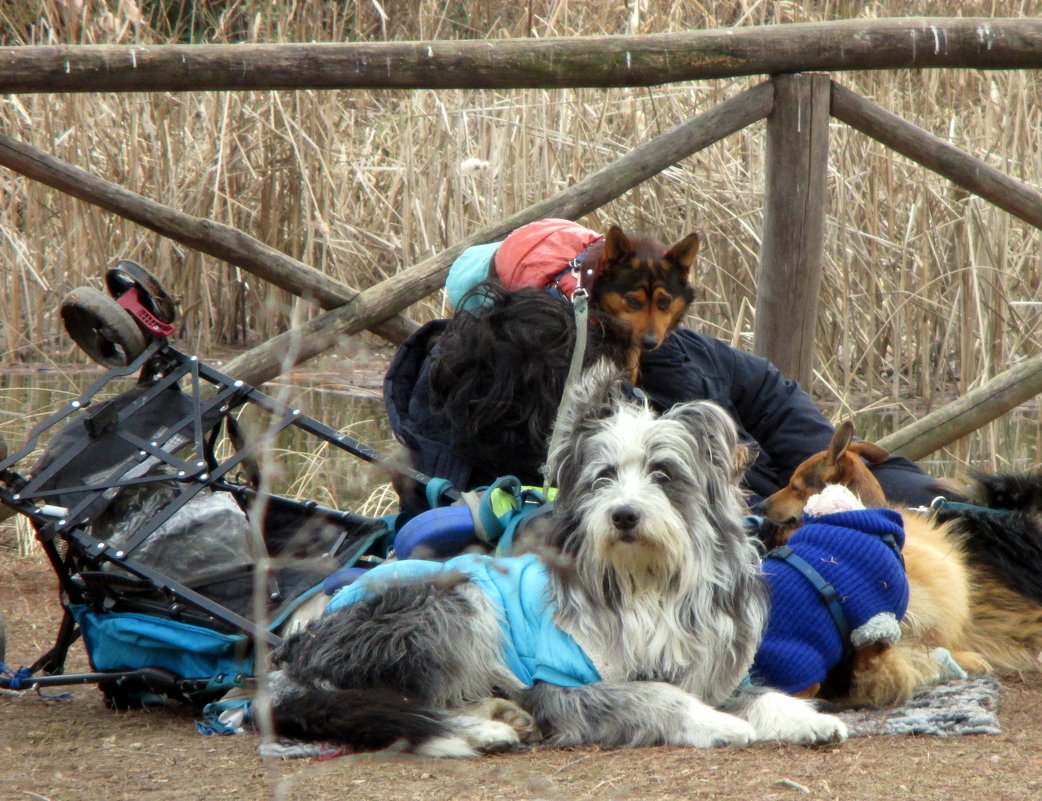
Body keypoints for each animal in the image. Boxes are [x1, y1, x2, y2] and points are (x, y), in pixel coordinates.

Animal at [268, 366, 846, 754]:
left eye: (662, 474)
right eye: (604, 477)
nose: (624, 515)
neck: (642, 580)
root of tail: (300, 643)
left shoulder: (707, 670)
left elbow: (757, 694)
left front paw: (804, 718)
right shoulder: (564, 686)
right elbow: (653, 696)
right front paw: (718, 725)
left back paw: (503, 714)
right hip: (453, 599)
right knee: (405, 705)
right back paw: (485, 729)